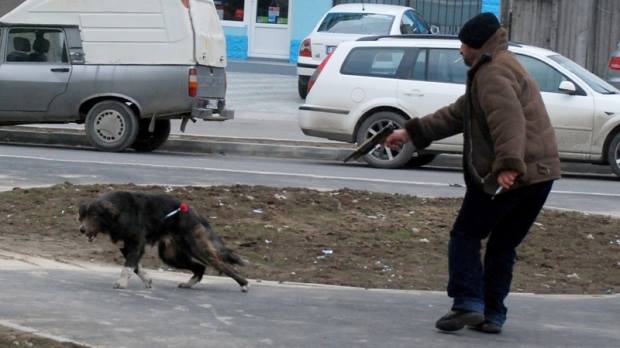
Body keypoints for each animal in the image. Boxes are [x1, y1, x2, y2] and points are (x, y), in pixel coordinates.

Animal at [78, 192, 248, 292]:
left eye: (94, 216)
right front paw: (147, 280)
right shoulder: (125, 247)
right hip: (171, 255)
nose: (81, 230)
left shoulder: (136, 244)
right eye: (83, 216)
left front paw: (121, 283)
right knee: (200, 267)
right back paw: (188, 284)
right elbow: (136, 267)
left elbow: (128, 267)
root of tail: (195, 213)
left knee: (222, 264)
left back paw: (244, 283)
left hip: (196, 248)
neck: (120, 212)